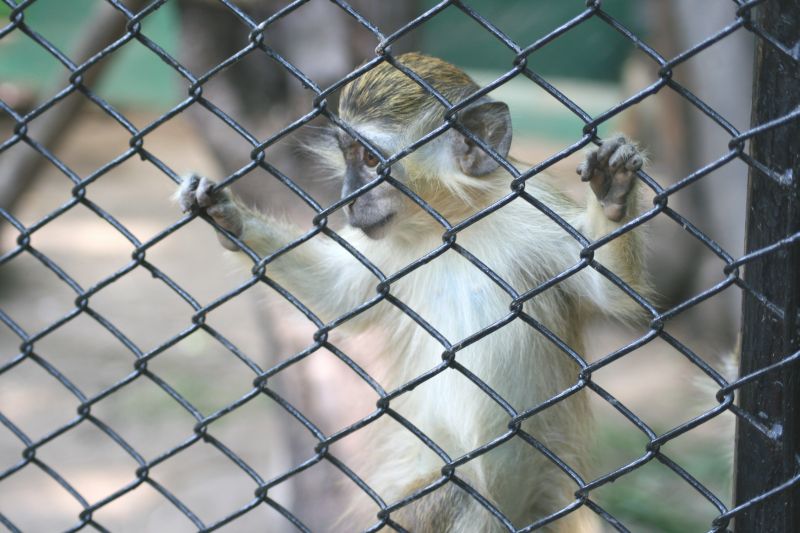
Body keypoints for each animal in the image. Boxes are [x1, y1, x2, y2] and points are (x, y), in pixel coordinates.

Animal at [177, 52, 648, 528]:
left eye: (371, 159)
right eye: (347, 155)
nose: (348, 196)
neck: (454, 222)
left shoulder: (533, 210)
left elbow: (611, 289)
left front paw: (614, 195)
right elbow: (339, 294)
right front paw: (227, 215)